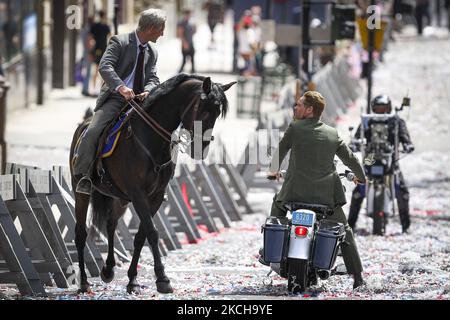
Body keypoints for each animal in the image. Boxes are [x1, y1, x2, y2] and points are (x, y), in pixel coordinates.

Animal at [68, 75, 236, 296]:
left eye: (217, 113)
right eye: (204, 109)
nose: (201, 149)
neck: (151, 139)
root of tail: (83, 124)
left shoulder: (155, 196)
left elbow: (142, 236)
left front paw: (133, 281)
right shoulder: (138, 195)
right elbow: (153, 233)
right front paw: (163, 279)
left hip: (120, 198)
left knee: (111, 224)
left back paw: (108, 269)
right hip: (81, 191)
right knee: (81, 233)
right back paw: (84, 283)